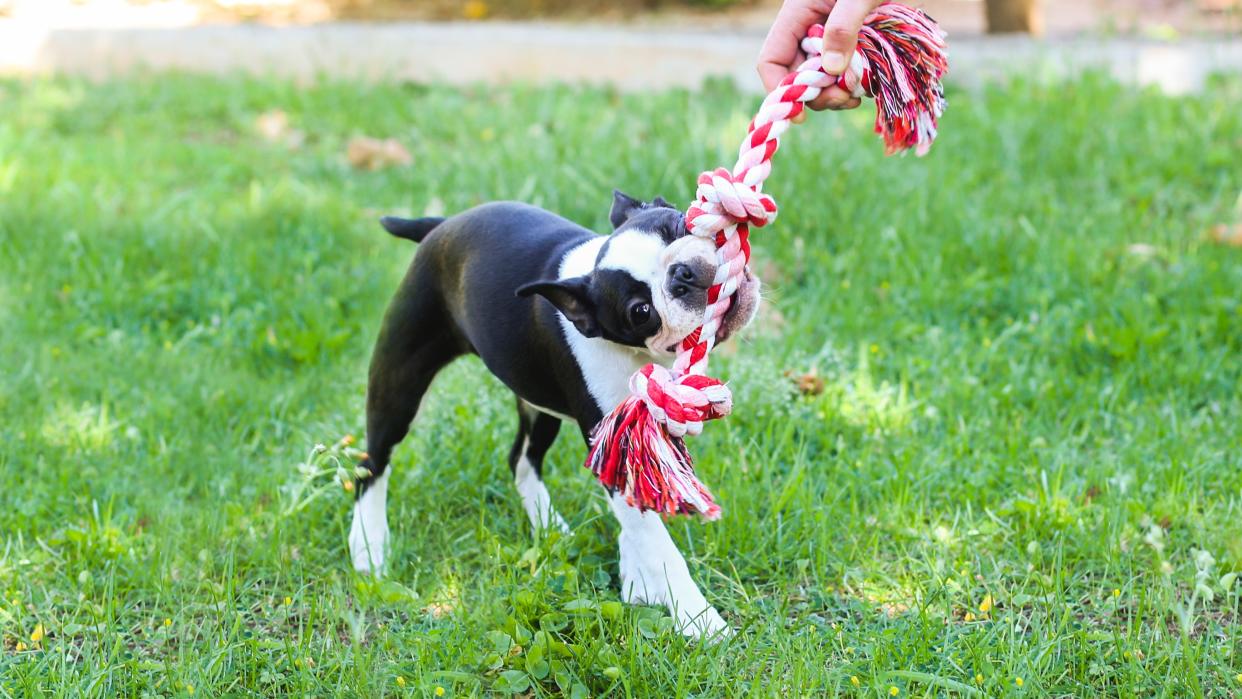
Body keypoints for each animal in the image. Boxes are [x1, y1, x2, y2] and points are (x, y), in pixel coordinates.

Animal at [345, 191, 760, 640]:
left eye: (679, 226)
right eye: (641, 311)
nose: (682, 274)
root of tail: (440, 225)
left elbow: (638, 522)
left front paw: (637, 582)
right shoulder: (616, 438)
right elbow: (658, 545)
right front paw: (700, 622)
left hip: (536, 397)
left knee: (521, 459)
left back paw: (549, 528)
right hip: (401, 376)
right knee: (372, 463)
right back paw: (369, 544)